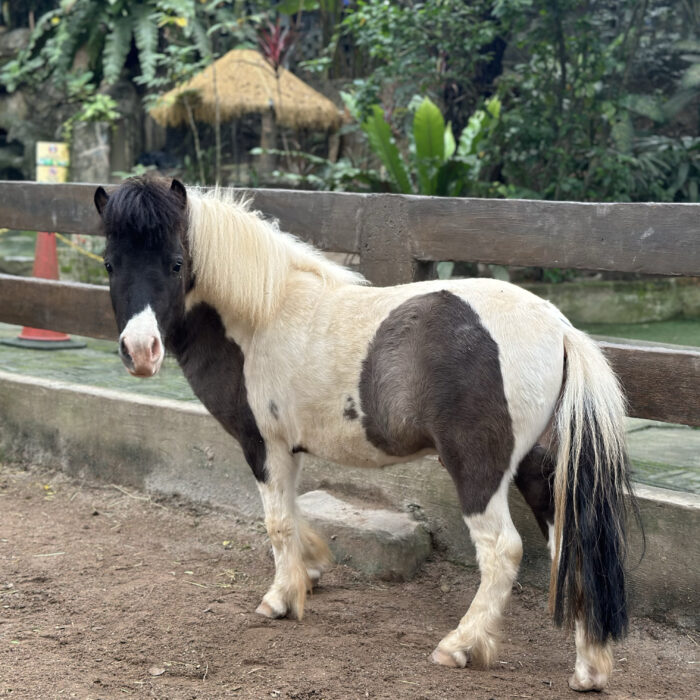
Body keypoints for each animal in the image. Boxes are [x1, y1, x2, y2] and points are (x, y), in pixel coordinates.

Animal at [94, 176, 634, 692]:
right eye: (109, 264)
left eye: (176, 263)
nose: (140, 351)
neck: (261, 316)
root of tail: (560, 328)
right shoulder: (289, 447)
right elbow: (295, 510)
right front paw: (312, 566)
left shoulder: (264, 445)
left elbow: (278, 521)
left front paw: (281, 598)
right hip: (538, 471)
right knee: (570, 549)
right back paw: (589, 670)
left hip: (480, 471)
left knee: (502, 550)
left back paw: (460, 645)